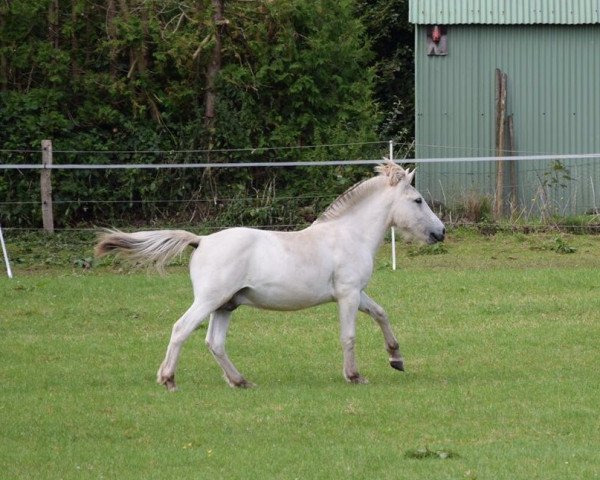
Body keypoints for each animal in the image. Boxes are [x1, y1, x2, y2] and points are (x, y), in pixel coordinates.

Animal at [96, 161, 442, 390]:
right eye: (418, 200)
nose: (440, 232)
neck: (348, 234)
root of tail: (202, 240)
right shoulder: (347, 294)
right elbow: (349, 336)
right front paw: (355, 376)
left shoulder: (356, 293)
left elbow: (381, 313)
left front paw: (396, 359)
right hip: (209, 300)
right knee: (182, 329)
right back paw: (168, 380)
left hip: (226, 305)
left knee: (214, 343)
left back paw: (240, 381)